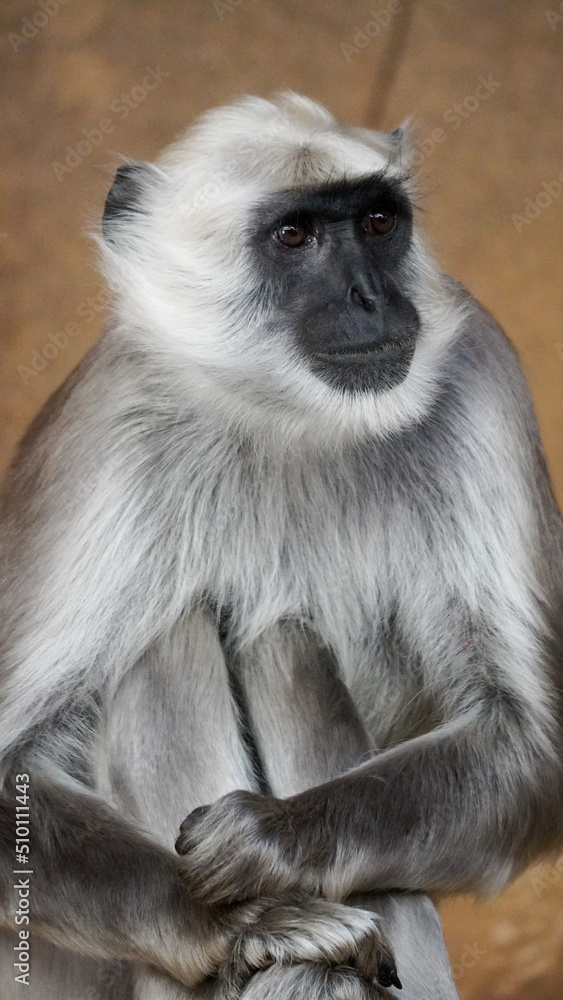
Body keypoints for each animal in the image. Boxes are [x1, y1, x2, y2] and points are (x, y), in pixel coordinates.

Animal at [0, 91, 561, 999]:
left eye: (377, 221)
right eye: (294, 236)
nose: (369, 297)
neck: (291, 419)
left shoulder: (481, 368)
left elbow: (531, 747)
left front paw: (271, 845)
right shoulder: (107, 419)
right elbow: (9, 767)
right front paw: (247, 923)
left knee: (281, 643)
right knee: (169, 638)